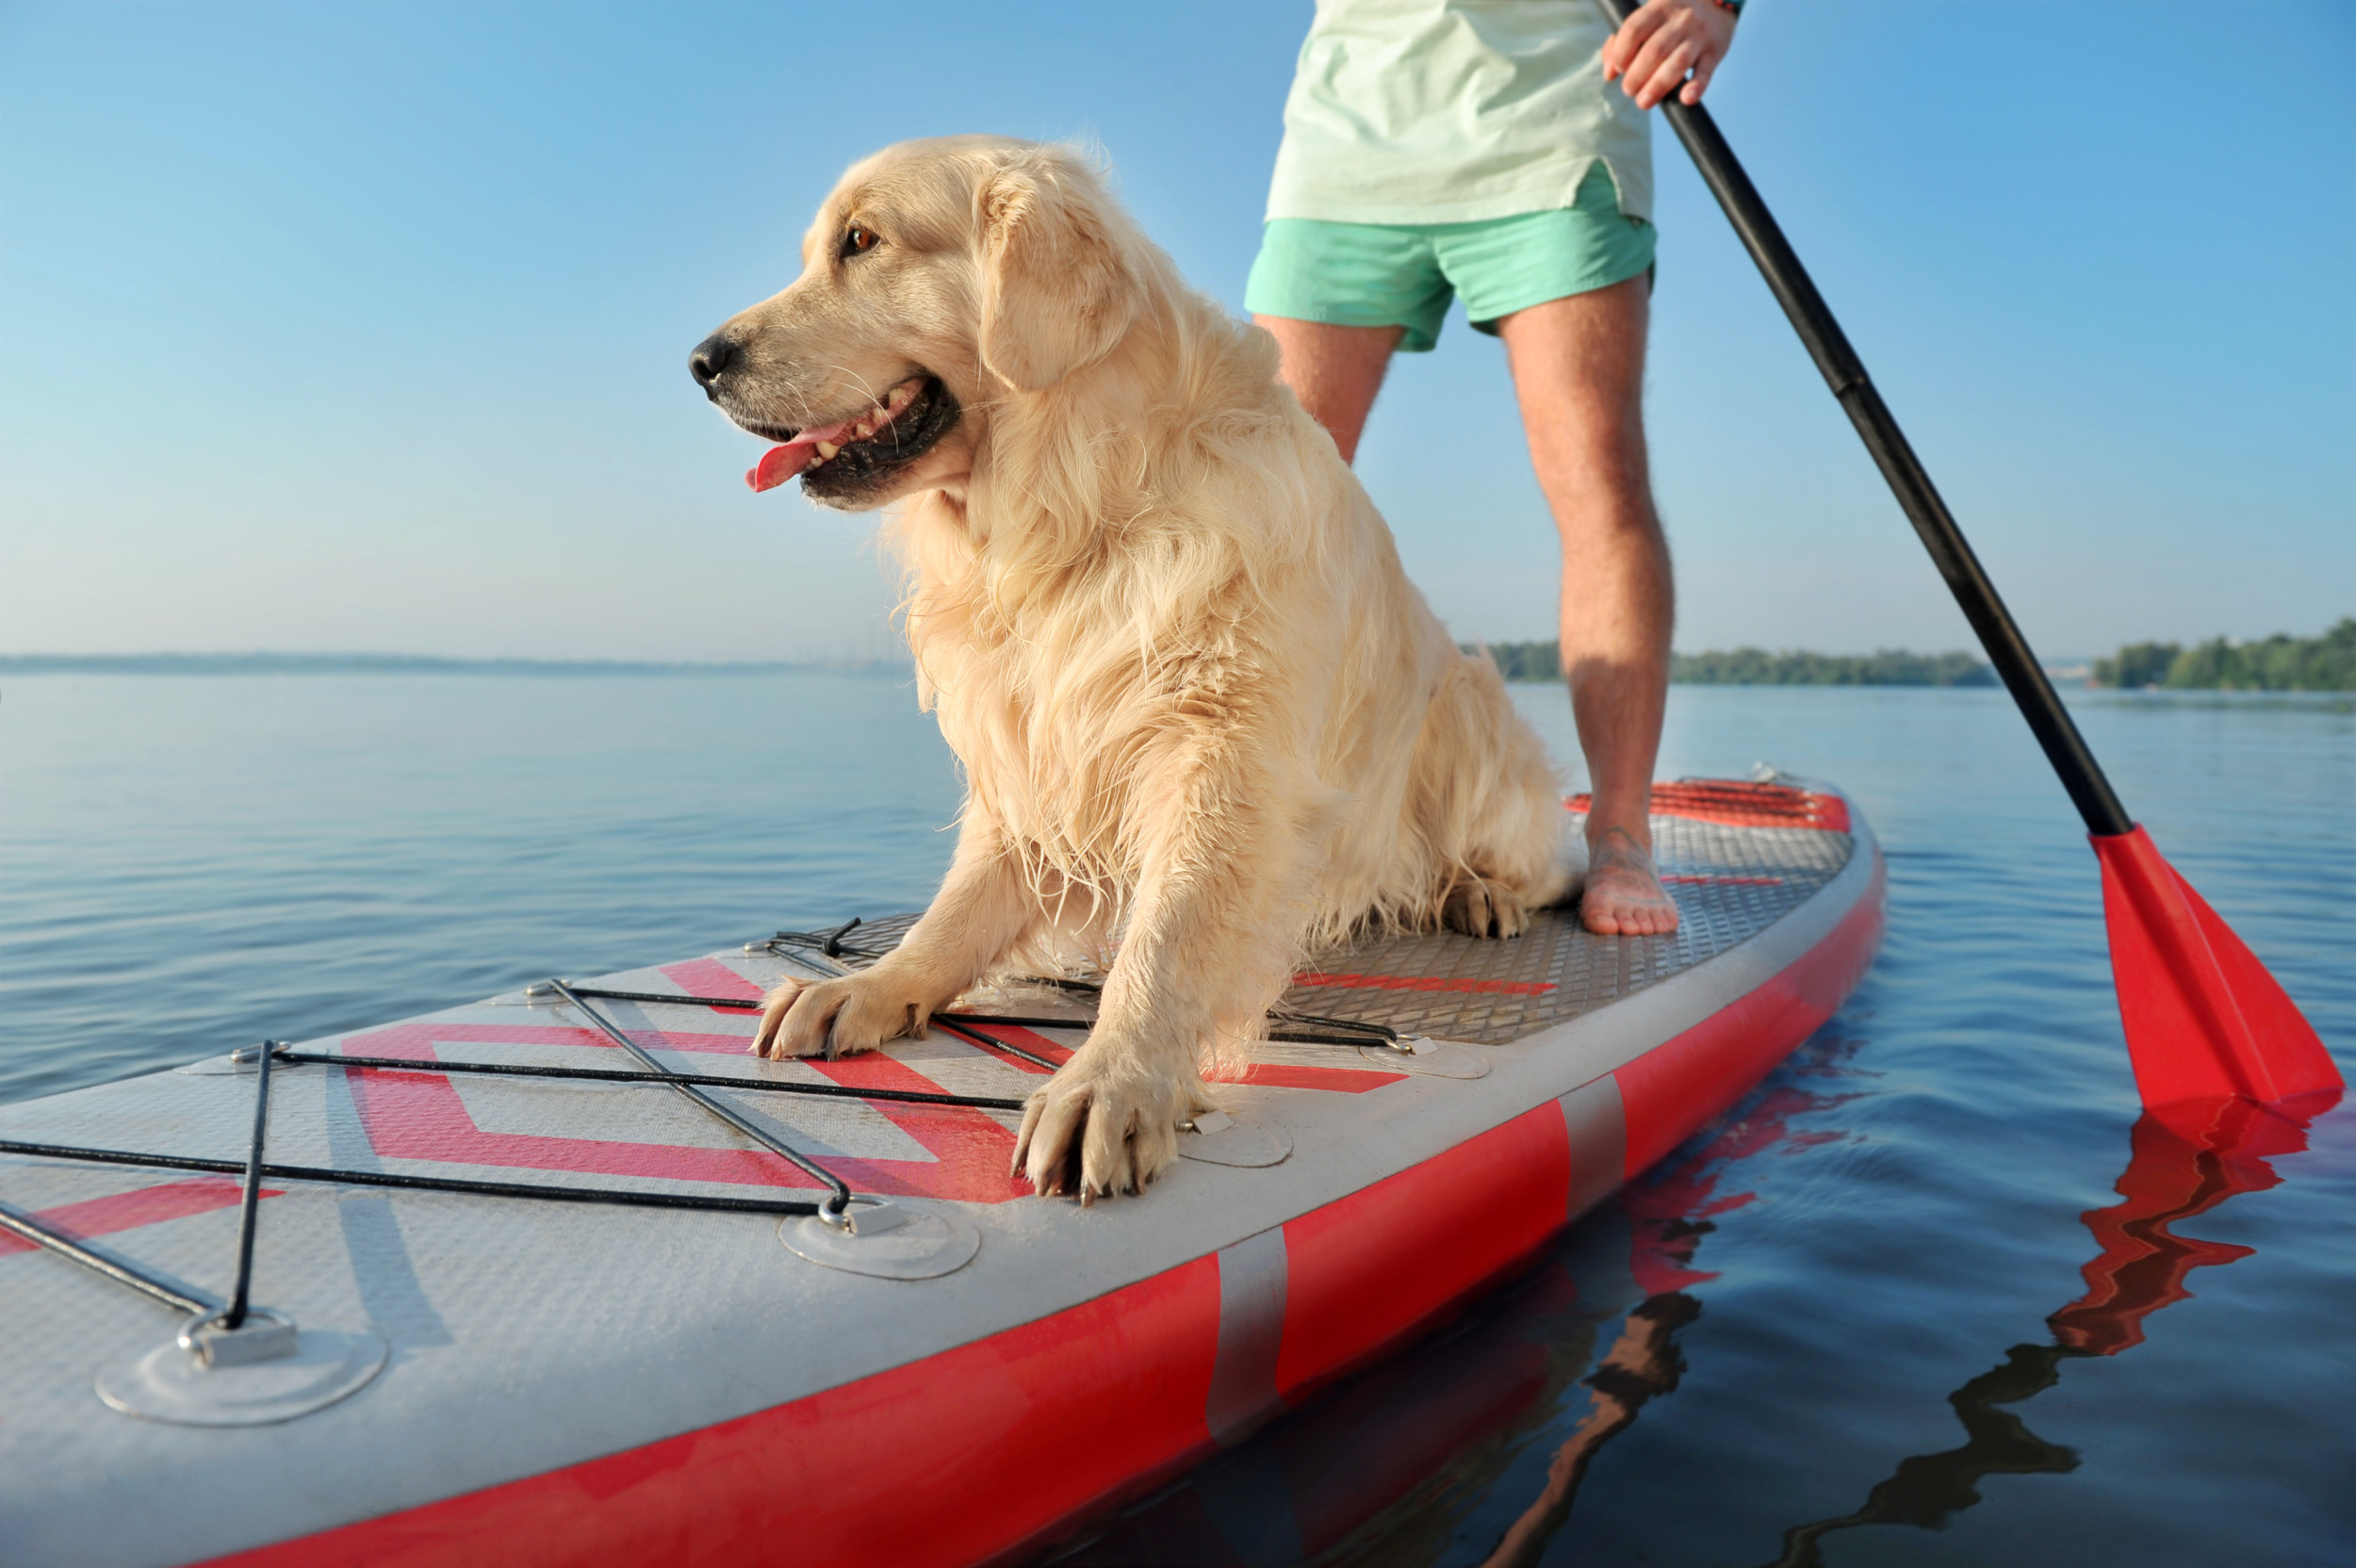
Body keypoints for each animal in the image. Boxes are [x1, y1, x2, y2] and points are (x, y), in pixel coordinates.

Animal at [688, 140, 1574, 1200]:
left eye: (861, 241)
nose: (700, 363)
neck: (1085, 506)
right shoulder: (1035, 745)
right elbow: (955, 910)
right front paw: (870, 985)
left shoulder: (1220, 753)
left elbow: (1167, 932)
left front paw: (1111, 1080)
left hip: (1473, 709)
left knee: (1539, 859)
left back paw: (1481, 890)